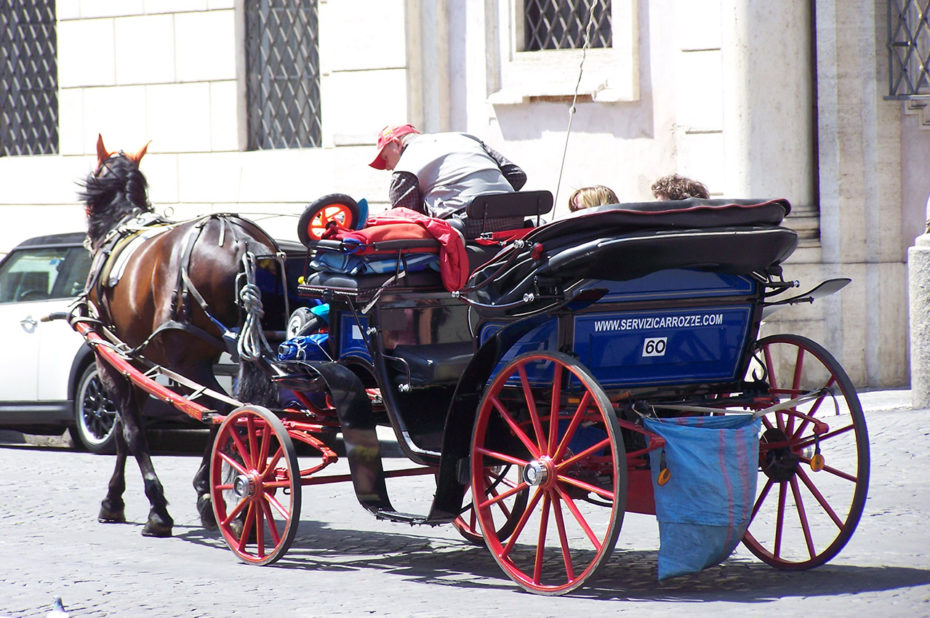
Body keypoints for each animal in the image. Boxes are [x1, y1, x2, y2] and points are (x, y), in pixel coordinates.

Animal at [79, 136, 282, 536]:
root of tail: (242, 244)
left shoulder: (111, 356)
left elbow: (131, 432)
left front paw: (149, 507)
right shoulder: (139, 360)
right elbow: (127, 429)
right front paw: (118, 499)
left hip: (188, 360)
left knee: (221, 412)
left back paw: (218, 492)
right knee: (236, 412)